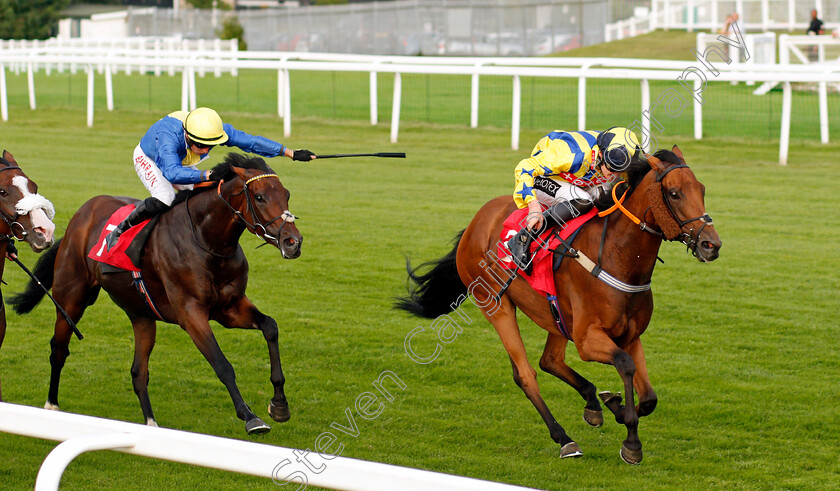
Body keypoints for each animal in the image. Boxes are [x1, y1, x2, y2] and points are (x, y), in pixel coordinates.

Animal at [9, 154, 302, 434]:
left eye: (287, 194)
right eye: (260, 197)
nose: (293, 242)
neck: (207, 241)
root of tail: (81, 214)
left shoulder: (229, 307)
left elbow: (270, 327)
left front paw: (279, 405)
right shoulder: (191, 314)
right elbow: (222, 364)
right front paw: (250, 417)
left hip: (141, 313)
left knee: (139, 372)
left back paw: (151, 424)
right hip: (71, 297)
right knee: (59, 350)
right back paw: (52, 406)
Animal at [396, 146, 720, 466]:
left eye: (702, 189)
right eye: (674, 193)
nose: (711, 245)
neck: (617, 256)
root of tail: (476, 221)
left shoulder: (630, 335)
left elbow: (649, 398)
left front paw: (615, 405)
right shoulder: (587, 340)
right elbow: (625, 365)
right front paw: (631, 441)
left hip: (556, 316)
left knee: (549, 360)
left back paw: (592, 403)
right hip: (497, 306)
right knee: (526, 375)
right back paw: (564, 438)